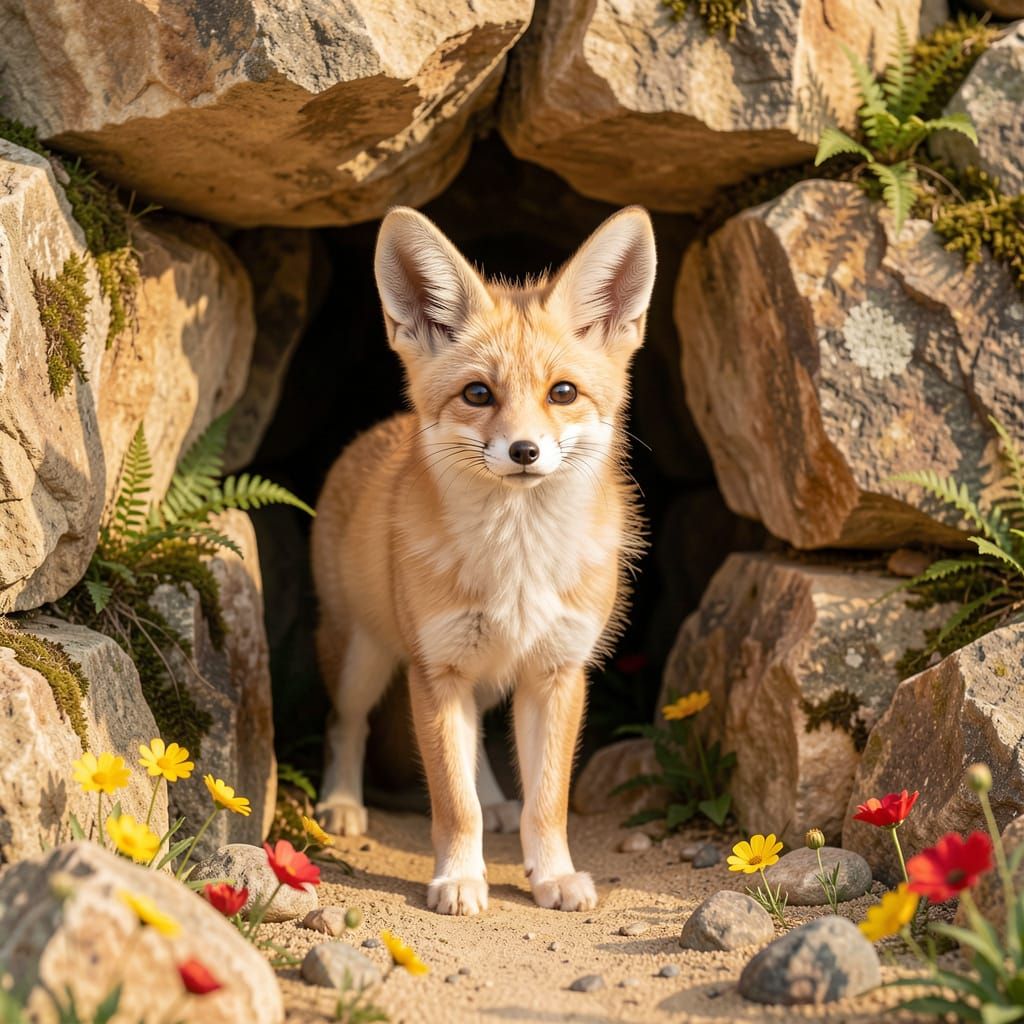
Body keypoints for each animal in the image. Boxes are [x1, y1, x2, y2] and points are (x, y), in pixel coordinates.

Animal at [311, 204, 656, 916]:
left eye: (562, 392)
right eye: (477, 394)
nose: (524, 451)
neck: (517, 565)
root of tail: (374, 432)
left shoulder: (558, 671)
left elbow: (545, 802)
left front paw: (552, 876)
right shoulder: (436, 671)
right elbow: (453, 801)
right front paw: (459, 878)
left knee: (484, 754)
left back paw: (499, 804)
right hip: (363, 656)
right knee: (344, 723)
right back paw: (342, 802)